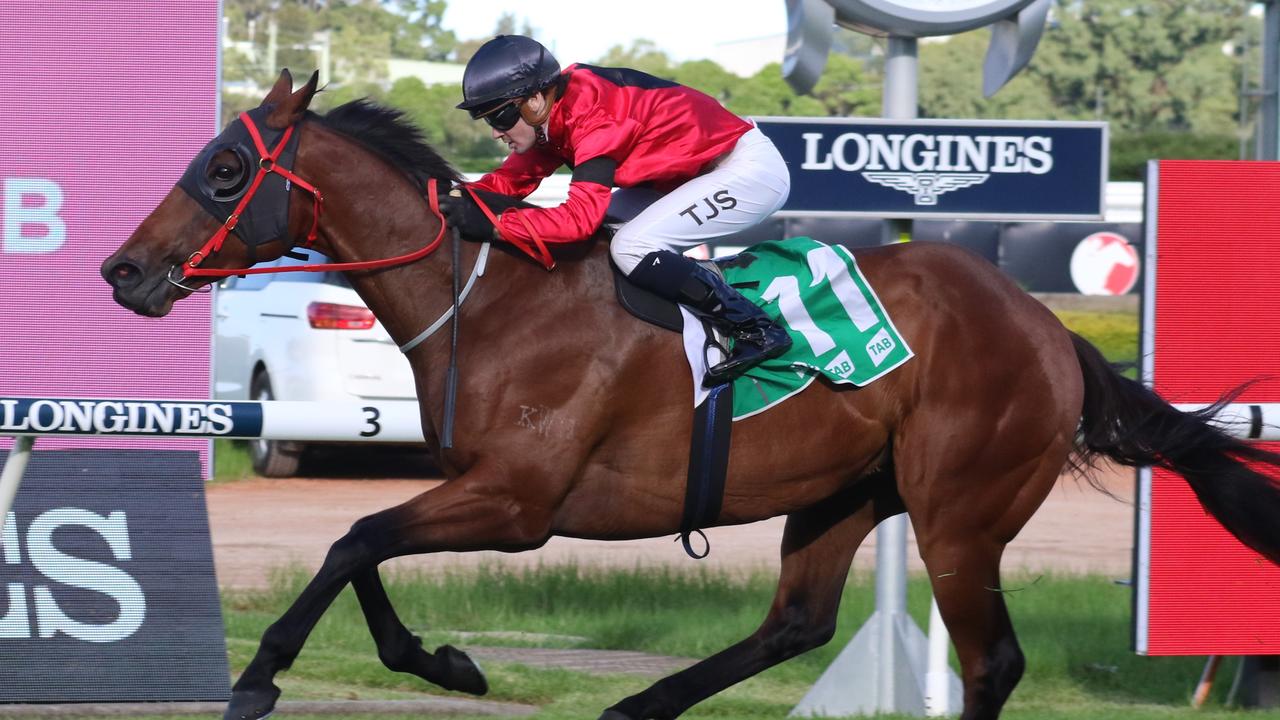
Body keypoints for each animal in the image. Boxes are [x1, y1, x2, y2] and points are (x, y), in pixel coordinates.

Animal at [102, 68, 1280, 717]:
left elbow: (353, 540)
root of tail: (1048, 330)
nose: (123, 270)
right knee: (796, 623)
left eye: (222, 170)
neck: (488, 299)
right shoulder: (484, 490)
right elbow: (363, 550)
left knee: (990, 663)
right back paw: (637, 705)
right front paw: (442, 661)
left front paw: (263, 678)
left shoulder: (518, 501)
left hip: (960, 511)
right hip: (846, 490)